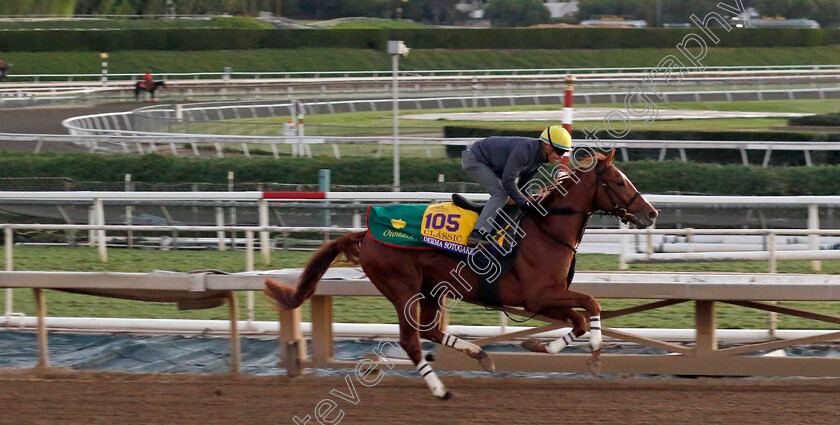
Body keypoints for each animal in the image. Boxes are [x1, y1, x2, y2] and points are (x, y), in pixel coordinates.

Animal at [266, 149, 660, 398]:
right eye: (620, 182)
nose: (651, 213)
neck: (547, 229)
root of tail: (366, 233)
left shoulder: (541, 300)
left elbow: (577, 320)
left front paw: (538, 345)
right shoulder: (538, 295)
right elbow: (592, 304)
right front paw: (594, 353)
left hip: (431, 290)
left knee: (432, 331)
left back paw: (481, 355)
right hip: (403, 289)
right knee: (412, 340)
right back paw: (440, 389)